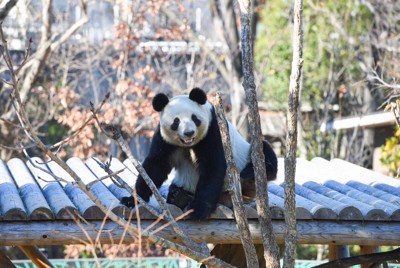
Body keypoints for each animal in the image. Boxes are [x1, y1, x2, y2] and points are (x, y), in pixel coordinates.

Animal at [121, 88, 278, 220]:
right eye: (176, 121)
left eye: (194, 118)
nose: (188, 133)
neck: (188, 144)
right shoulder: (164, 139)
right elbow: (156, 165)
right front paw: (131, 199)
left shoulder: (214, 130)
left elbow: (213, 165)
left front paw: (198, 210)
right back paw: (178, 196)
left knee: (264, 154)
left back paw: (249, 173)